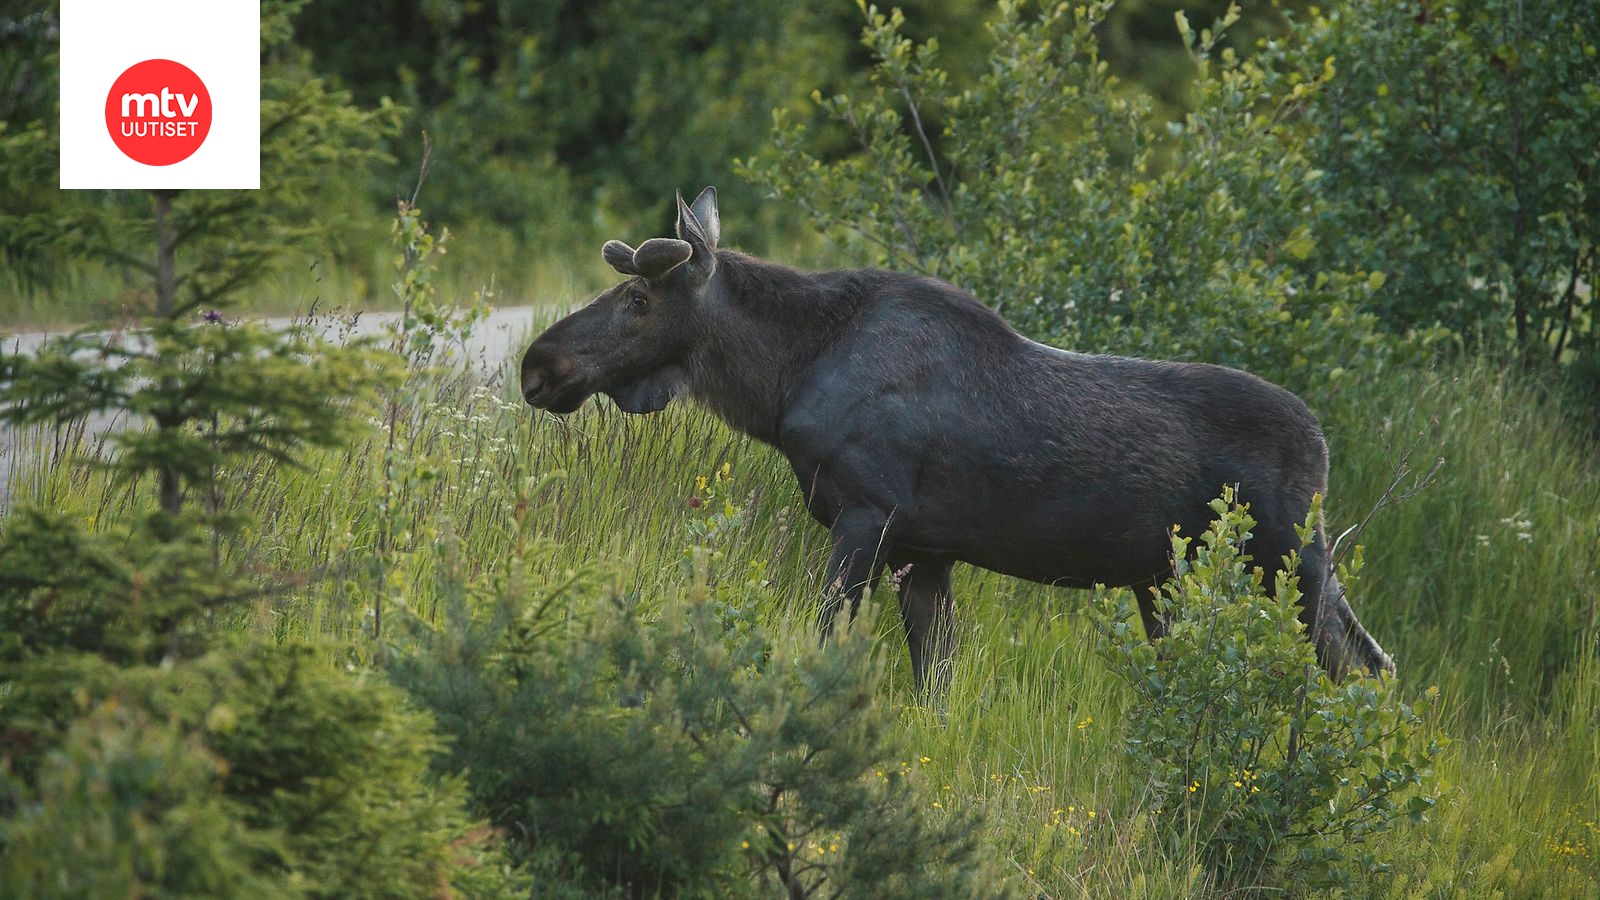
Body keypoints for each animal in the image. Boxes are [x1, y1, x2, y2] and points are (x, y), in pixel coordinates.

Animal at [521, 187, 1388, 695]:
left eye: (637, 299)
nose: (538, 364)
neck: (783, 379)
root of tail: (1323, 446)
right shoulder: (928, 551)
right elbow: (931, 683)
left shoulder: (866, 515)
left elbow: (828, 639)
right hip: (1187, 581)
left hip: (1288, 562)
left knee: (1360, 672)